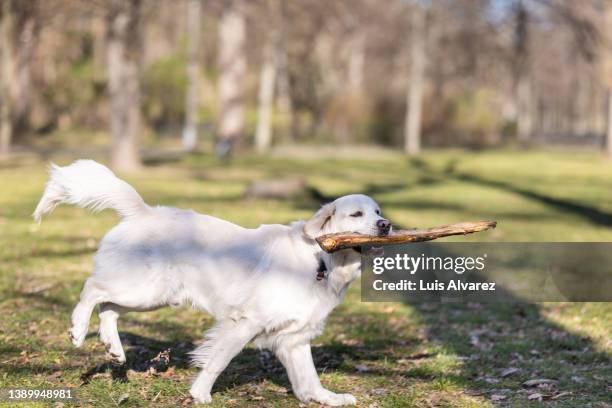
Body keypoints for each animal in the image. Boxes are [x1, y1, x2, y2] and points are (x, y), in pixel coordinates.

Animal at [34, 159, 392, 404]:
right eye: (357, 214)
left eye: (377, 211)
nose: (386, 225)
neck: (322, 260)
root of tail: (143, 211)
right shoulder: (244, 323)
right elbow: (218, 361)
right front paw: (200, 394)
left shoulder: (294, 339)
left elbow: (309, 380)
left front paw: (328, 398)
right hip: (143, 288)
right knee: (92, 289)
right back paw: (78, 329)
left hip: (151, 296)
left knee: (108, 308)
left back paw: (114, 349)